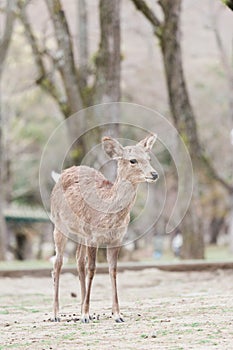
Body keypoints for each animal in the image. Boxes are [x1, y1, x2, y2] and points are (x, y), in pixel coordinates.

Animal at [50, 133, 158, 322]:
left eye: (149, 158)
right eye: (132, 160)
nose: (154, 174)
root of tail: (60, 175)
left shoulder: (116, 238)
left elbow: (113, 270)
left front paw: (117, 314)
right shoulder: (93, 236)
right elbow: (92, 268)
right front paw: (86, 314)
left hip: (80, 234)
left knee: (78, 260)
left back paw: (82, 309)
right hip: (59, 224)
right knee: (58, 263)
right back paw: (56, 314)